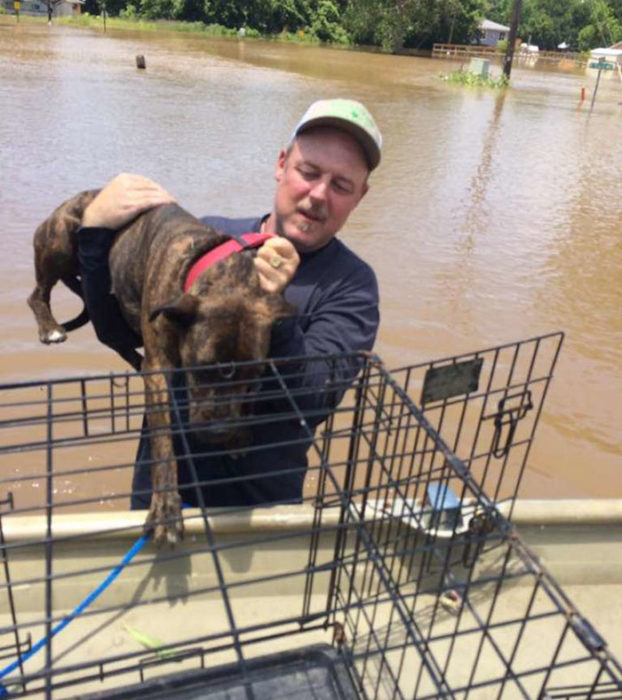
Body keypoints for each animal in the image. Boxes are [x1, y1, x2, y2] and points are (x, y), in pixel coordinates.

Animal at [31, 191, 298, 548]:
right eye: (201, 370)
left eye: (253, 382)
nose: (219, 432)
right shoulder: (160, 370)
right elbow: (162, 443)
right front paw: (167, 507)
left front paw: (240, 435)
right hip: (58, 242)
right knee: (38, 294)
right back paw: (49, 327)